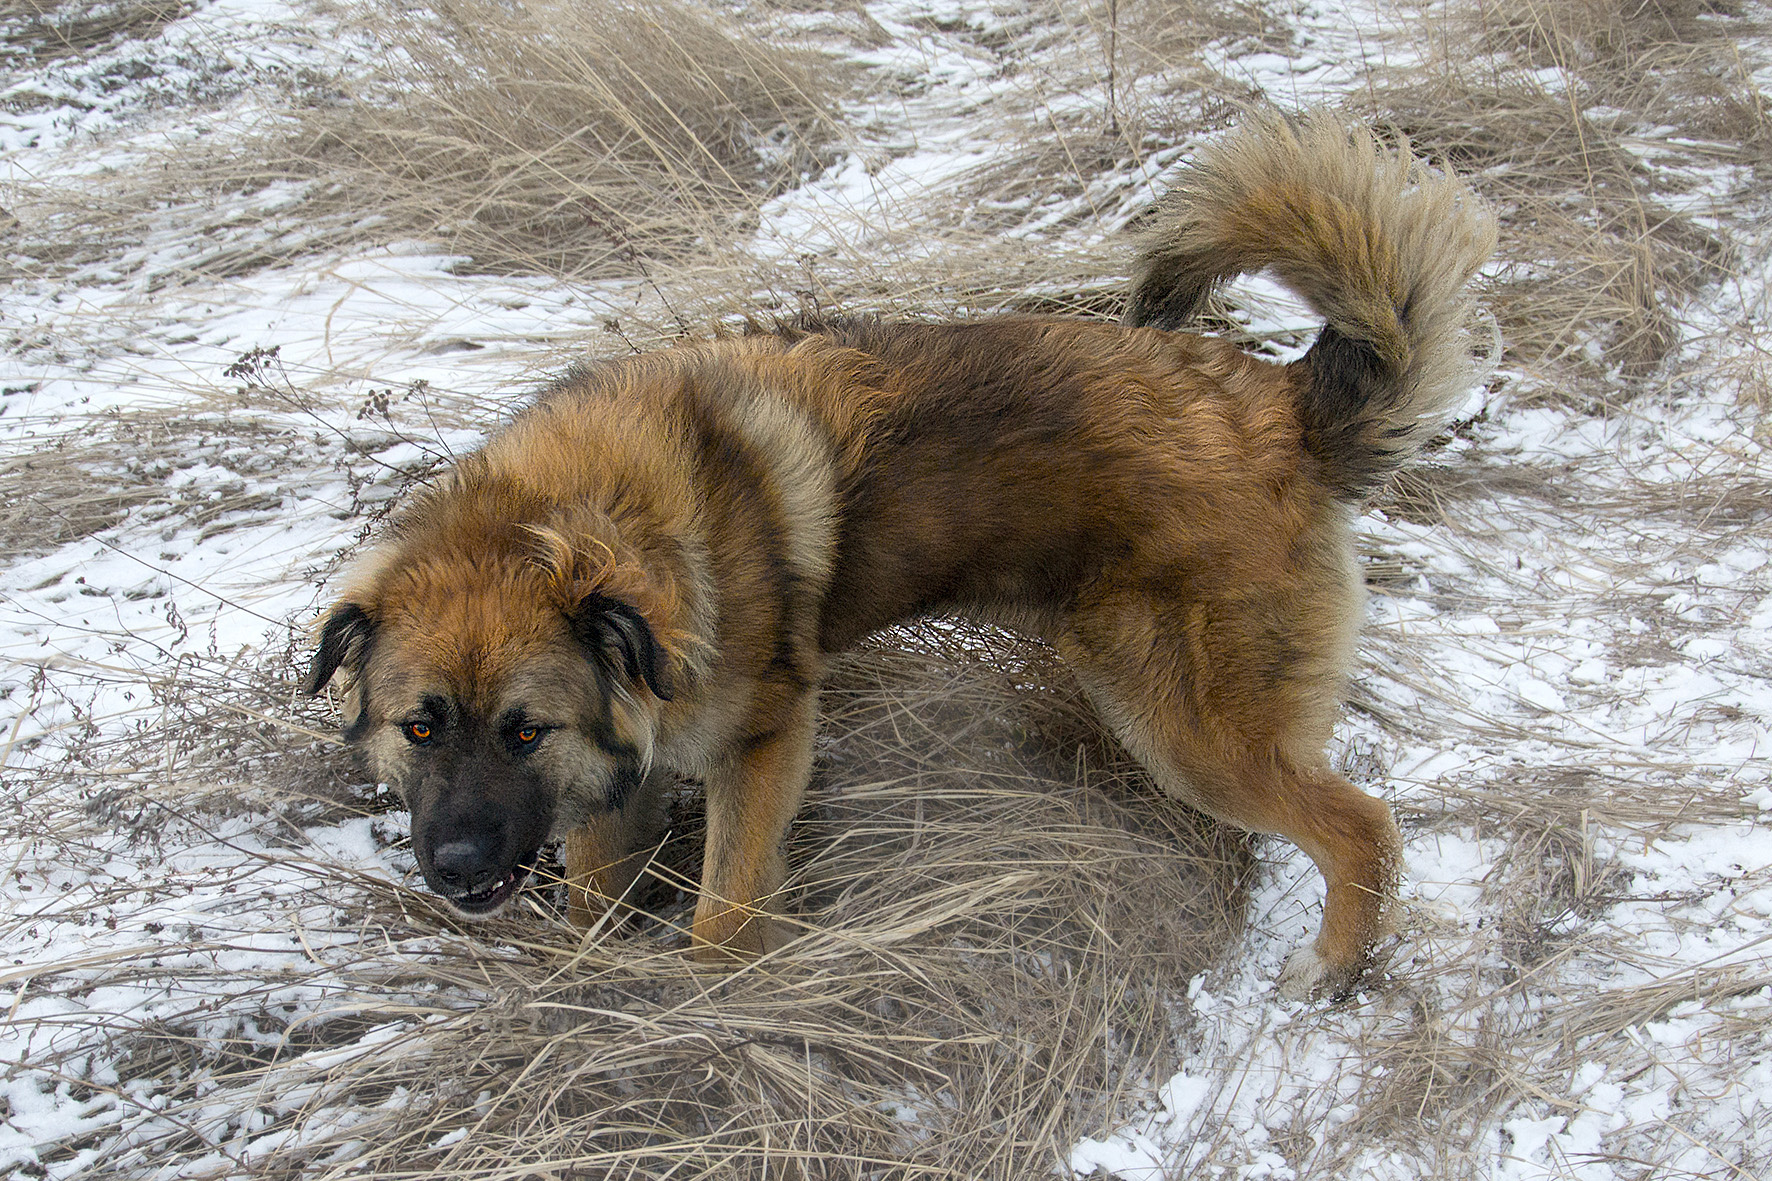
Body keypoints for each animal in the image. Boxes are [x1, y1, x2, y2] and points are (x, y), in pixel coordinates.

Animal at [306, 110, 1495, 999]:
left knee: (1361, 827)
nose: (455, 868)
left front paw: (715, 1009)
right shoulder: (612, 780)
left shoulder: (763, 741)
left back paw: (1330, 968)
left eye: (524, 728)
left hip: (1192, 723)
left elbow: (724, 911)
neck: (590, 511)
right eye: (421, 726)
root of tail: (1279, 407)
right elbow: (603, 900)